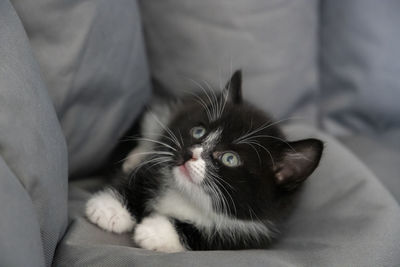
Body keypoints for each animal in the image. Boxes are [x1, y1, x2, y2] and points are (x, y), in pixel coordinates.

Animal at [86, 70, 324, 253]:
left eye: (230, 158)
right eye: (198, 131)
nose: (188, 154)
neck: (191, 197)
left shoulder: (257, 229)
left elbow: (210, 237)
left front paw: (155, 232)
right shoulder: (161, 157)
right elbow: (141, 177)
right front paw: (110, 209)